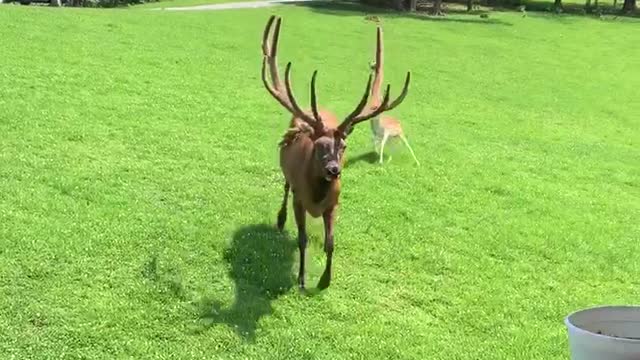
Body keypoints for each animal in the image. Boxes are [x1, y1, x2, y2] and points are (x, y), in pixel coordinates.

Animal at [258, 16, 410, 290]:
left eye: (344, 146)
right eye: (318, 145)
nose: (334, 170)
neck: (317, 197)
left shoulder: (334, 204)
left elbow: (331, 243)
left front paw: (325, 280)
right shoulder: (299, 199)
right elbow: (302, 239)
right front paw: (301, 279)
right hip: (287, 176)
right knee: (285, 188)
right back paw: (280, 220)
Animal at [364, 26, 420, 166]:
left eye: (376, 107)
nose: (369, 114)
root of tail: (399, 122)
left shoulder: (385, 134)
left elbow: (381, 145)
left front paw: (380, 162)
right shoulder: (379, 135)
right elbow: (375, 143)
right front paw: (379, 158)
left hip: (400, 135)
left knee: (407, 145)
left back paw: (417, 162)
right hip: (394, 137)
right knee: (392, 146)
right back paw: (389, 159)